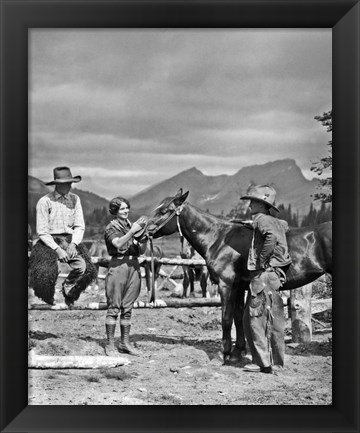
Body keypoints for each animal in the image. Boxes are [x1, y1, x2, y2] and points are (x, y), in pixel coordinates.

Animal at [146, 188, 332, 362]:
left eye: (164, 211)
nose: (145, 231)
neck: (219, 238)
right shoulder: (239, 287)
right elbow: (238, 317)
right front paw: (238, 352)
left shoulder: (226, 285)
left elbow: (227, 318)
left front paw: (224, 353)